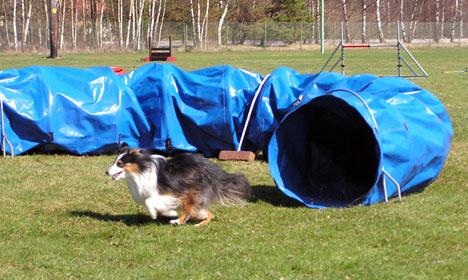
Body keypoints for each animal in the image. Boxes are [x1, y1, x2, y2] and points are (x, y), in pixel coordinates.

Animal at [106, 148, 252, 226]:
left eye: (119, 163)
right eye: (114, 162)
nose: (106, 172)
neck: (140, 171)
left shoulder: (169, 193)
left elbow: (150, 202)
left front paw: (167, 213)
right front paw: (165, 212)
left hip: (189, 192)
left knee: (190, 210)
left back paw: (178, 221)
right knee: (208, 213)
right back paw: (199, 223)